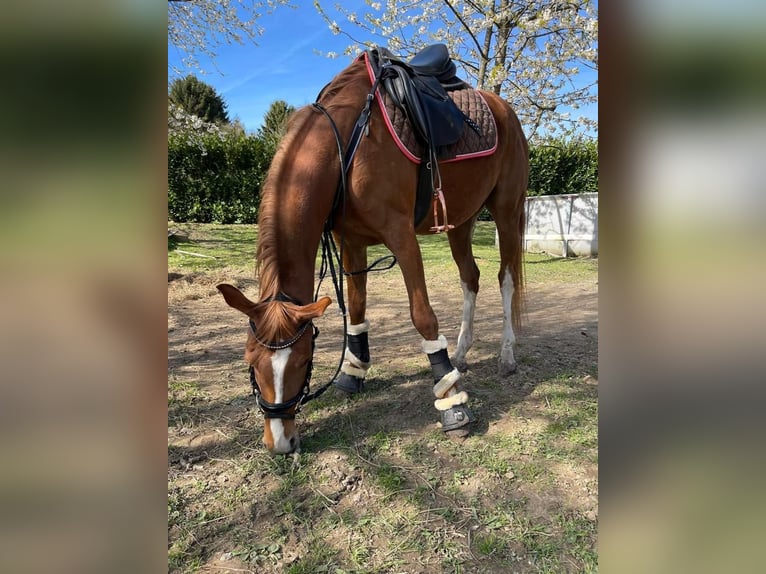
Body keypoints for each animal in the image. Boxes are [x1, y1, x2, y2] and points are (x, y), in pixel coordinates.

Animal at [216, 51, 528, 456]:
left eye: (303, 360)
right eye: (250, 360)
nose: (280, 442)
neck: (347, 144)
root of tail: (503, 108)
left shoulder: (401, 236)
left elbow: (423, 317)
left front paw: (452, 403)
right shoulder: (351, 241)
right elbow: (357, 308)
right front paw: (354, 372)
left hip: (506, 210)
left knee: (506, 279)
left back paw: (506, 354)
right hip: (461, 220)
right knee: (469, 278)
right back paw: (461, 352)